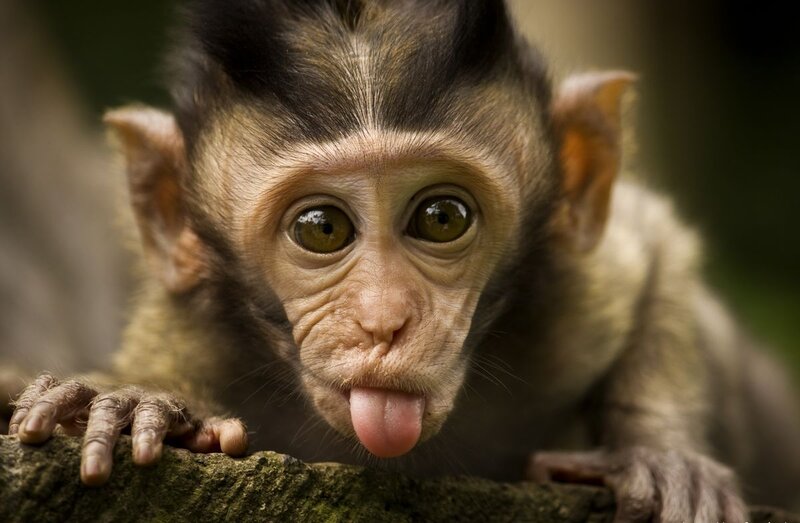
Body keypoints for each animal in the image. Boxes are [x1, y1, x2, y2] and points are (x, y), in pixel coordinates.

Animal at [6, 0, 800, 520]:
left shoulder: (577, 297)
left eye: (441, 218)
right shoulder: (193, 332)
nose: (383, 321)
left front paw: (659, 454)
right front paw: (136, 401)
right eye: (322, 228)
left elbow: (658, 248)